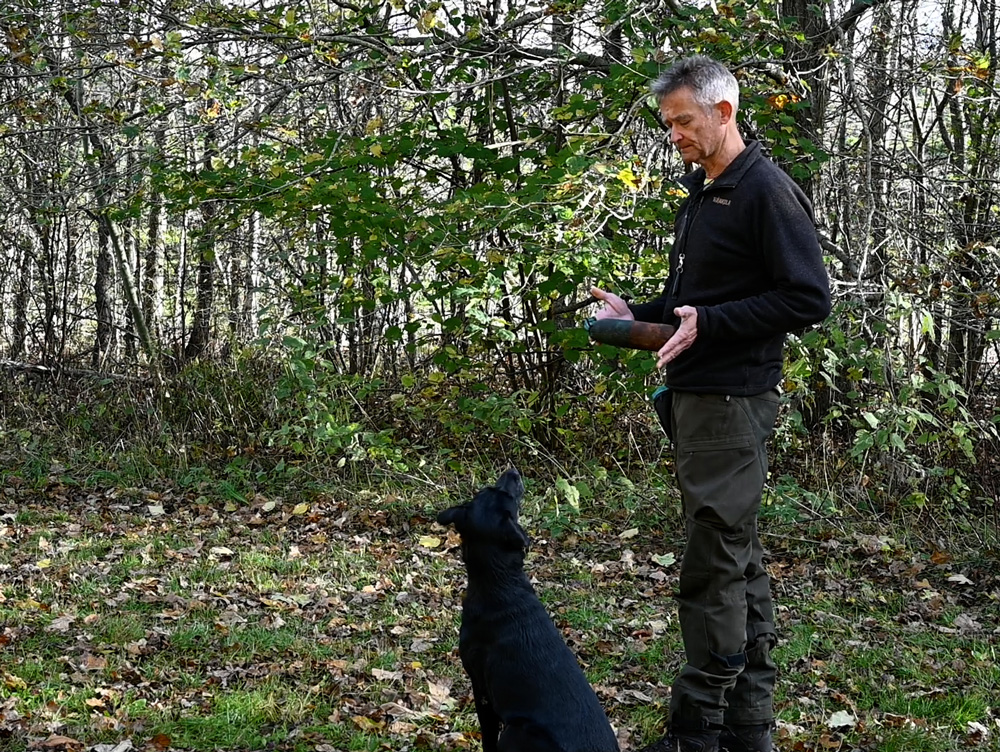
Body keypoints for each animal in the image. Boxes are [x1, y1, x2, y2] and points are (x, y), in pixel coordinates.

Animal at [440, 470, 620, 752]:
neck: (501, 581)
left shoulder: (481, 689)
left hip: (515, 731)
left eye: (503, 493)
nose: (512, 471)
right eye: (490, 490)